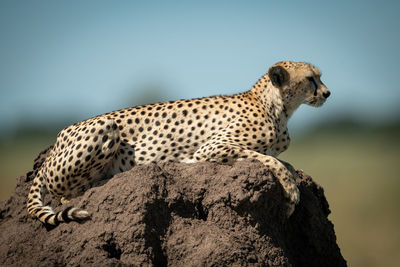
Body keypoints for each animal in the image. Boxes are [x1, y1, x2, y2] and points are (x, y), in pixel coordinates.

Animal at [26, 60, 330, 226]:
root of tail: (57, 139)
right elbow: (271, 161)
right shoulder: (211, 149)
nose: (327, 93)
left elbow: (284, 162)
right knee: (66, 195)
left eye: (320, 77)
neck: (277, 106)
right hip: (105, 126)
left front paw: (293, 185)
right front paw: (291, 196)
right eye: (311, 79)